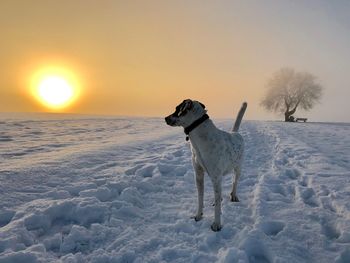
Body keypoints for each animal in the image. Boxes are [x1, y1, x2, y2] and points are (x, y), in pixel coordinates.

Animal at [165, 100, 247, 232]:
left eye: (178, 109)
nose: (165, 118)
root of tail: (235, 133)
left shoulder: (216, 177)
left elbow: (217, 206)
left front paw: (217, 224)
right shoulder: (198, 175)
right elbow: (200, 197)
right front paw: (198, 215)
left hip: (238, 168)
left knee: (235, 182)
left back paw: (233, 196)